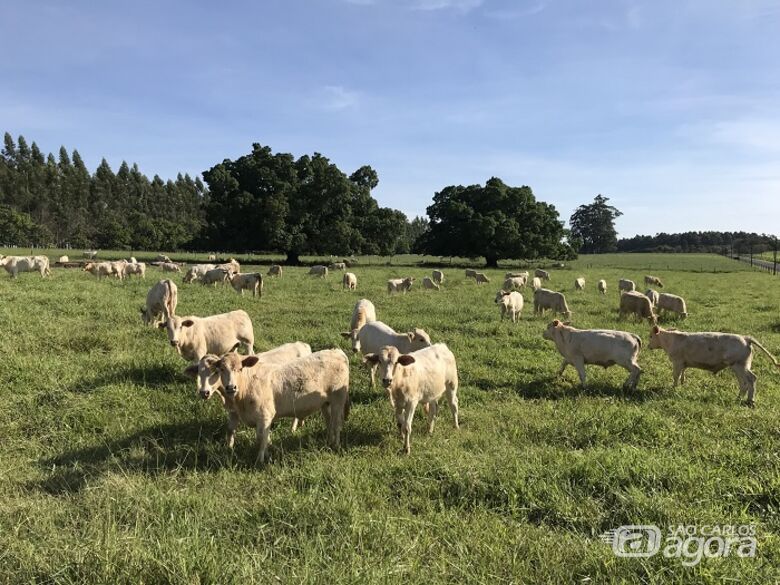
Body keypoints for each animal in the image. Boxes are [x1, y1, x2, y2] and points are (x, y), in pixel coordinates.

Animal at [192, 350, 350, 464]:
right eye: (221, 369)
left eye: (240, 369)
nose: (231, 387)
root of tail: (336, 351)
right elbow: (237, 432)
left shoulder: (265, 416)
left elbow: (261, 437)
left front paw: (260, 460)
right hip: (325, 403)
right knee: (329, 422)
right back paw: (328, 441)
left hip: (338, 400)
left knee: (337, 423)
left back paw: (335, 445)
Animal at [644, 326, 780, 404]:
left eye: (650, 336)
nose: (648, 346)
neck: (671, 340)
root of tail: (746, 338)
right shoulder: (683, 363)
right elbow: (683, 373)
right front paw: (682, 384)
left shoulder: (677, 362)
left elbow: (675, 376)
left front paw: (673, 388)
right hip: (742, 366)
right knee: (745, 383)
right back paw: (739, 398)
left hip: (740, 365)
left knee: (751, 379)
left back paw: (750, 400)